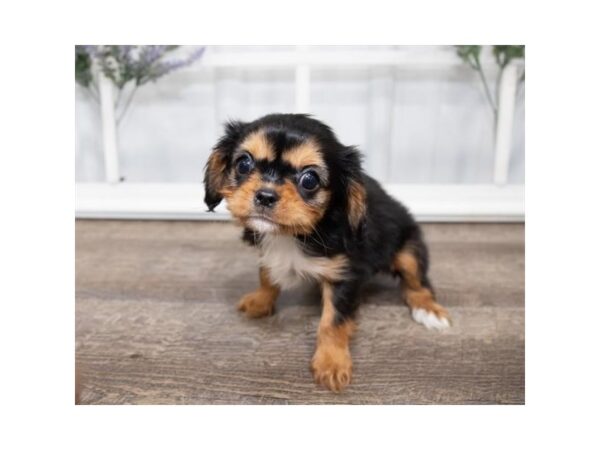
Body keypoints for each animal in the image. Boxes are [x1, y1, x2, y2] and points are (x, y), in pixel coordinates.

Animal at [204, 114, 448, 392]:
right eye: (244, 164)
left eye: (309, 180)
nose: (265, 195)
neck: (294, 235)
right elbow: (267, 275)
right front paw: (261, 300)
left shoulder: (345, 275)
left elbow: (333, 322)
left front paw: (331, 363)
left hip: (409, 250)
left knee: (418, 283)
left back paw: (429, 310)